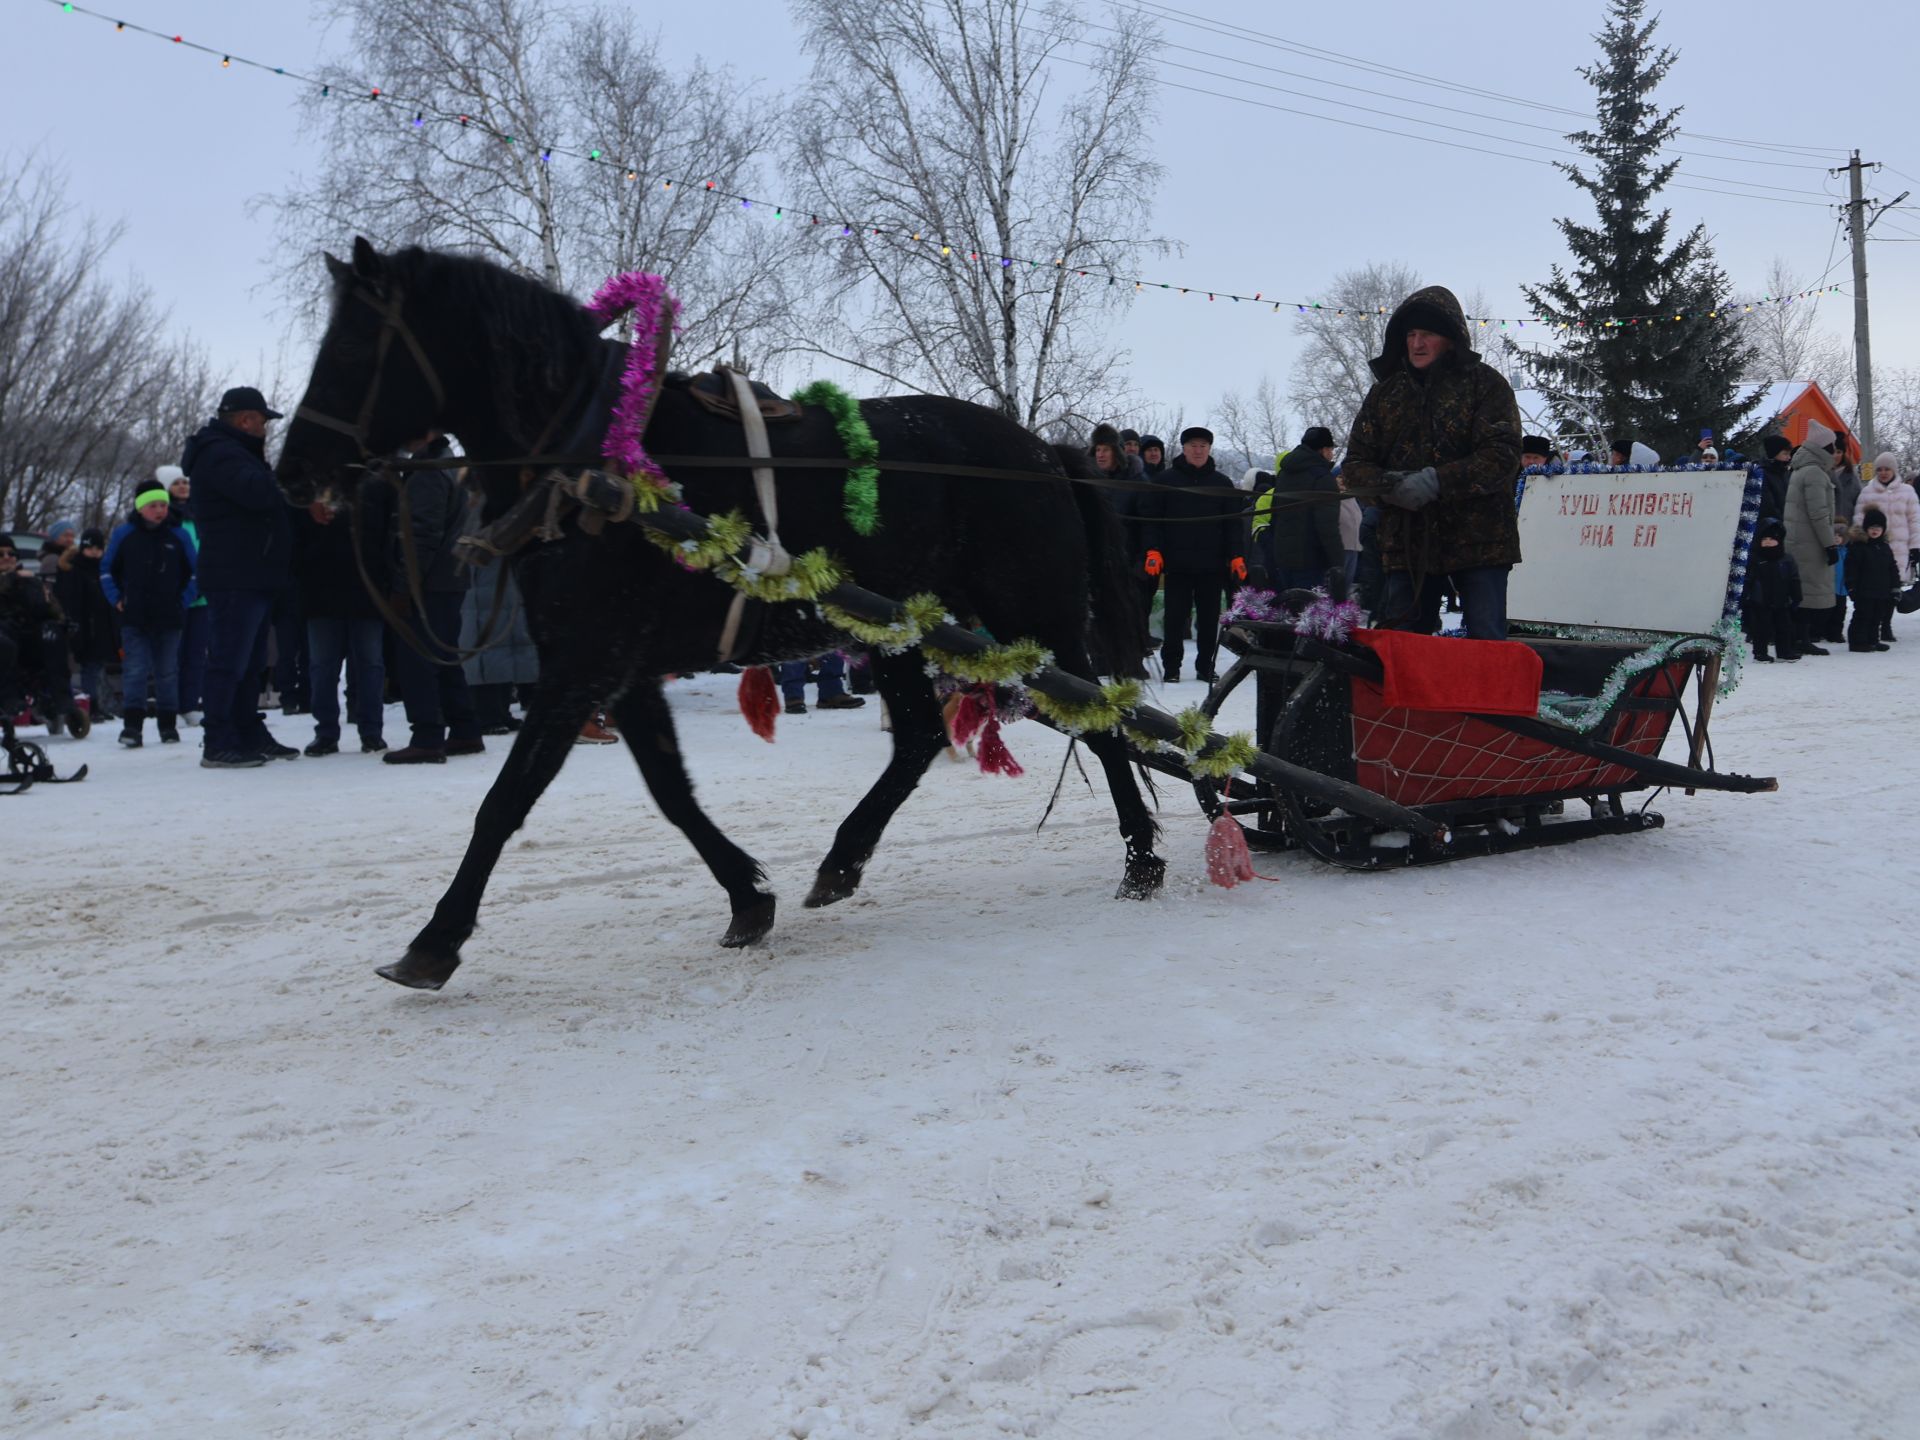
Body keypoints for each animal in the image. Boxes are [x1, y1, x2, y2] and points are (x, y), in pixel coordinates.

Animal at [278, 242, 1159, 990]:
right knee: (918, 738)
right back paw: (843, 861)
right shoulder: (617, 669)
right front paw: (747, 897)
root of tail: (1043, 452)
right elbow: (671, 792)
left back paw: (1141, 859)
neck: (595, 461)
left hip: (1031, 619)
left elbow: (505, 801)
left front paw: (434, 940)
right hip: (901, 630)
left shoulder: (583, 664)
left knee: (1103, 722)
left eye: (351, 349)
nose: (295, 475)